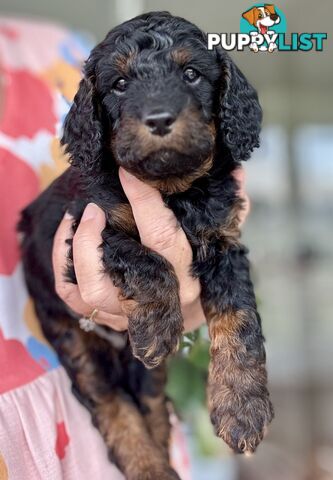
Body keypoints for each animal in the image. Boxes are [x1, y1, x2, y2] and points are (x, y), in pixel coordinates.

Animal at [17, 11, 272, 480]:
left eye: (191, 74)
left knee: (151, 403)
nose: (158, 119)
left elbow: (240, 318)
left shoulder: (225, 244)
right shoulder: (87, 229)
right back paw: (148, 465)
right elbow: (146, 259)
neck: (173, 190)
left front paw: (243, 408)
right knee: (111, 403)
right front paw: (157, 326)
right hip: (70, 336)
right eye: (119, 84)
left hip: (144, 374)